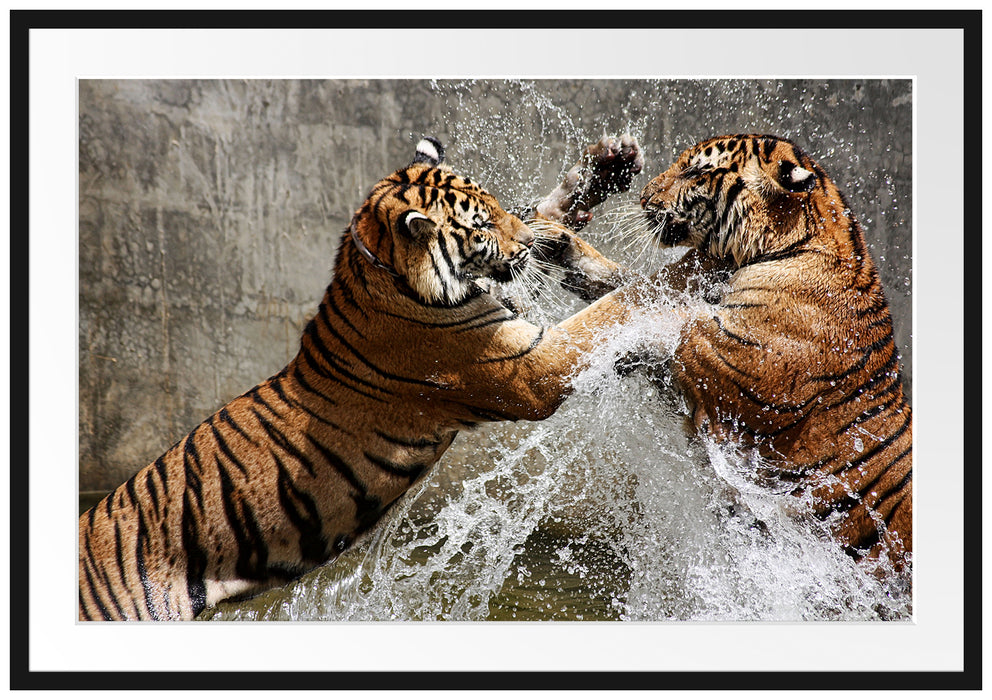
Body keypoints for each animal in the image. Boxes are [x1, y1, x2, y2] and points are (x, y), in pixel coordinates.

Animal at [78, 135, 647, 621]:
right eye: (481, 226)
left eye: (497, 203)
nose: (526, 243)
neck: (382, 270)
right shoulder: (529, 366)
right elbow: (612, 308)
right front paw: (664, 285)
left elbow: (543, 232)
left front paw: (603, 170)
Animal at [539, 134, 912, 572]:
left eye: (694, 171)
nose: (644, 197)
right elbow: (637, 286)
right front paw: (560, 244)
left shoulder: (726, 361)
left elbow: (654, 311)